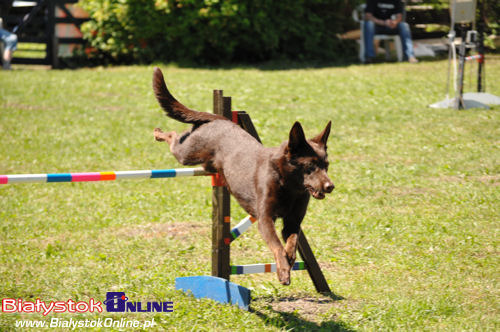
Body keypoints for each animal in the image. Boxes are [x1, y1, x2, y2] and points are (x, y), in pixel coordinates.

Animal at [152, 68, 332, 286]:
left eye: (326, 166)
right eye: (310, 166)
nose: (330, 186)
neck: (289, 186)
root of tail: (219, 119)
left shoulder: (293, 221)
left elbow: (291, 241)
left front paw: (289, 259)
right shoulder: (265, 219)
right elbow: (277, 245)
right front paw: (283, 271)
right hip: (187, 154)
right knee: (174, 136)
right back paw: (158, 132)